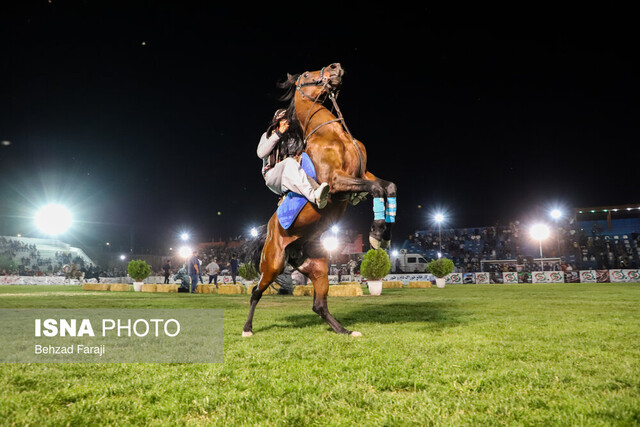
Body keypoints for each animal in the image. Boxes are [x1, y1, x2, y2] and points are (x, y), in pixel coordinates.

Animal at [244, 63, 398, 338]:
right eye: (306, 75)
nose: (335, 67)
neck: (331, 134)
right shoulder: (337, 181)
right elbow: (376, 189)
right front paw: (377, 233)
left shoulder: (362, 174)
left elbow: (387, 187)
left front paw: (383, 234)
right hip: (272, 264)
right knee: (255, 291)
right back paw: (247, 329)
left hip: (318, 265)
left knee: (318, 304)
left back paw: (345, 331)